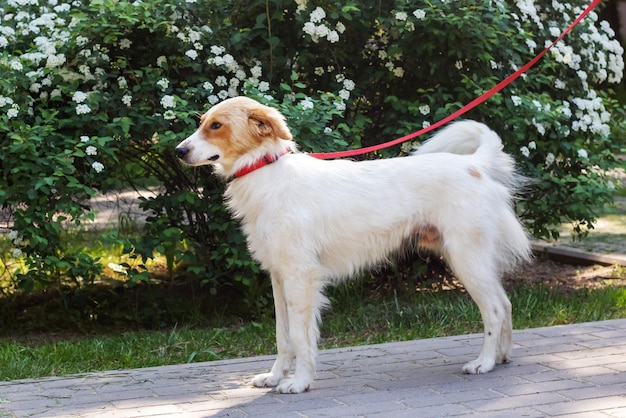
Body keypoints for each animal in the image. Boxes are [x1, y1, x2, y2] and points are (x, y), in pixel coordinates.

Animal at [173, 96, 528, 394]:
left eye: (216, 126)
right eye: (202, 121)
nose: (178, 151)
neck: (267, 173)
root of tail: (474, 165)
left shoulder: (301, 277)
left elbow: (300, 337)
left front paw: (299, 382)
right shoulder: (278, 276)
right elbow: (283, 337)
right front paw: (274, 377)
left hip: (465, 258)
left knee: (495, 309)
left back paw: (484, 362)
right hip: (472, 260)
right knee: (506, 303)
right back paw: (502, 357)